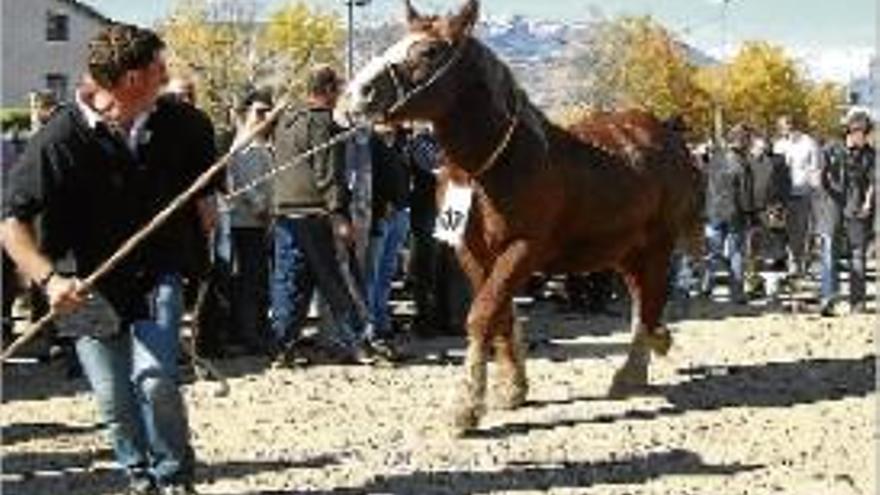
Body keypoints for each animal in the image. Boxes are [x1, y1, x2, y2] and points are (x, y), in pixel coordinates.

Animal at [340, 0, 704, 434]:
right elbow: (499, 314)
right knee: (640, 299)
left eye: (428, 51)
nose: (353, 96)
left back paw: (632, 370)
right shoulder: (471, 252)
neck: (489, 168)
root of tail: (669, 137)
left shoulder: (524, 249)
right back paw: (649, 351)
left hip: (657, 245)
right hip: (626, 249)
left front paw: (465, 406)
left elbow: (483, 315)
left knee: (649, 299)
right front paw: (512, 388)